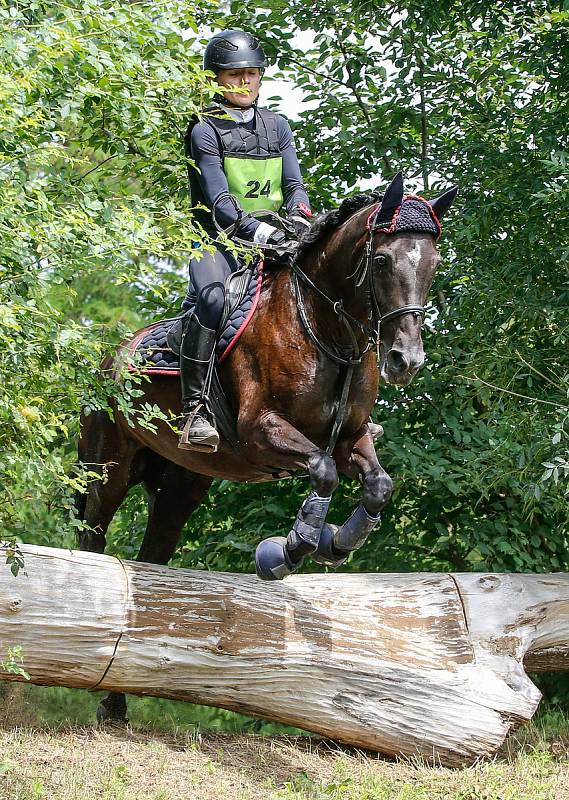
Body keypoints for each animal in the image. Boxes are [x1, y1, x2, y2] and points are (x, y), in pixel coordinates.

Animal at [74, 175, 458, 724]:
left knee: (154, 557)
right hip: (108, 469)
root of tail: (110, 359)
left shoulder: (351, 438)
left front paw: (337, 542)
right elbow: (323, 473)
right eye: (382, 260)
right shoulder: (261, 433)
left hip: (180, 485)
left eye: (432, 262)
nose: (406, 361)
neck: (324, 328)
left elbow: (378, 485)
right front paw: (288, 550)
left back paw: (115, 699)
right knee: (93, 539)